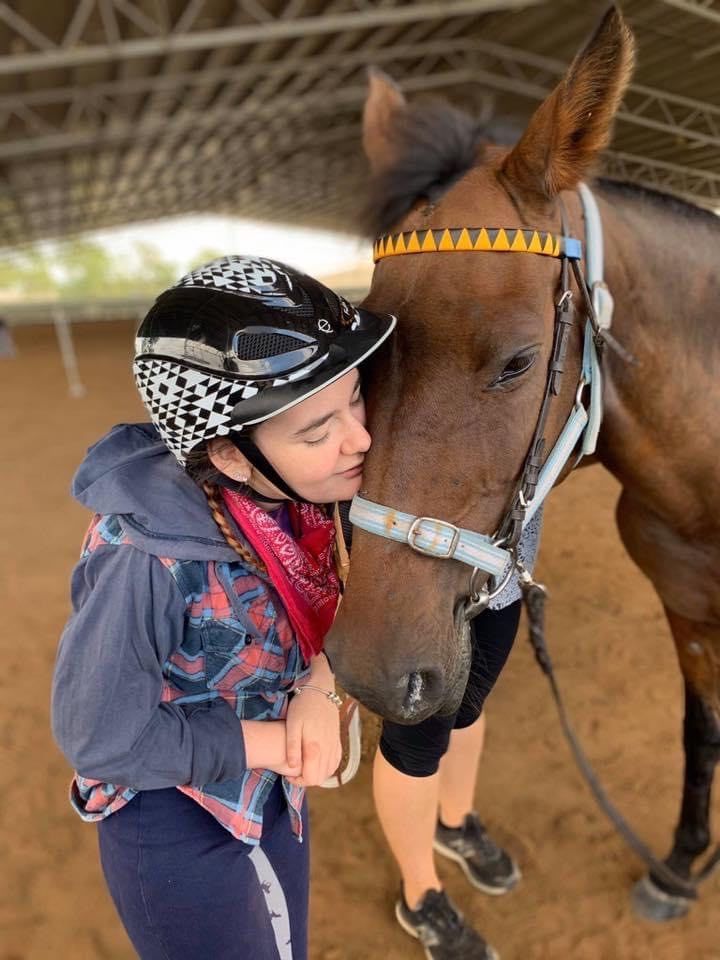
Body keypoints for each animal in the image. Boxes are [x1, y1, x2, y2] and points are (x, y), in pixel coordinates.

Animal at [325, 5, 720, 921]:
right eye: (367, 351)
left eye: (517, 361)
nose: (369, 669)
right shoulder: (688, 612)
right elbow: (702, 730)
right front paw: (680, 866)